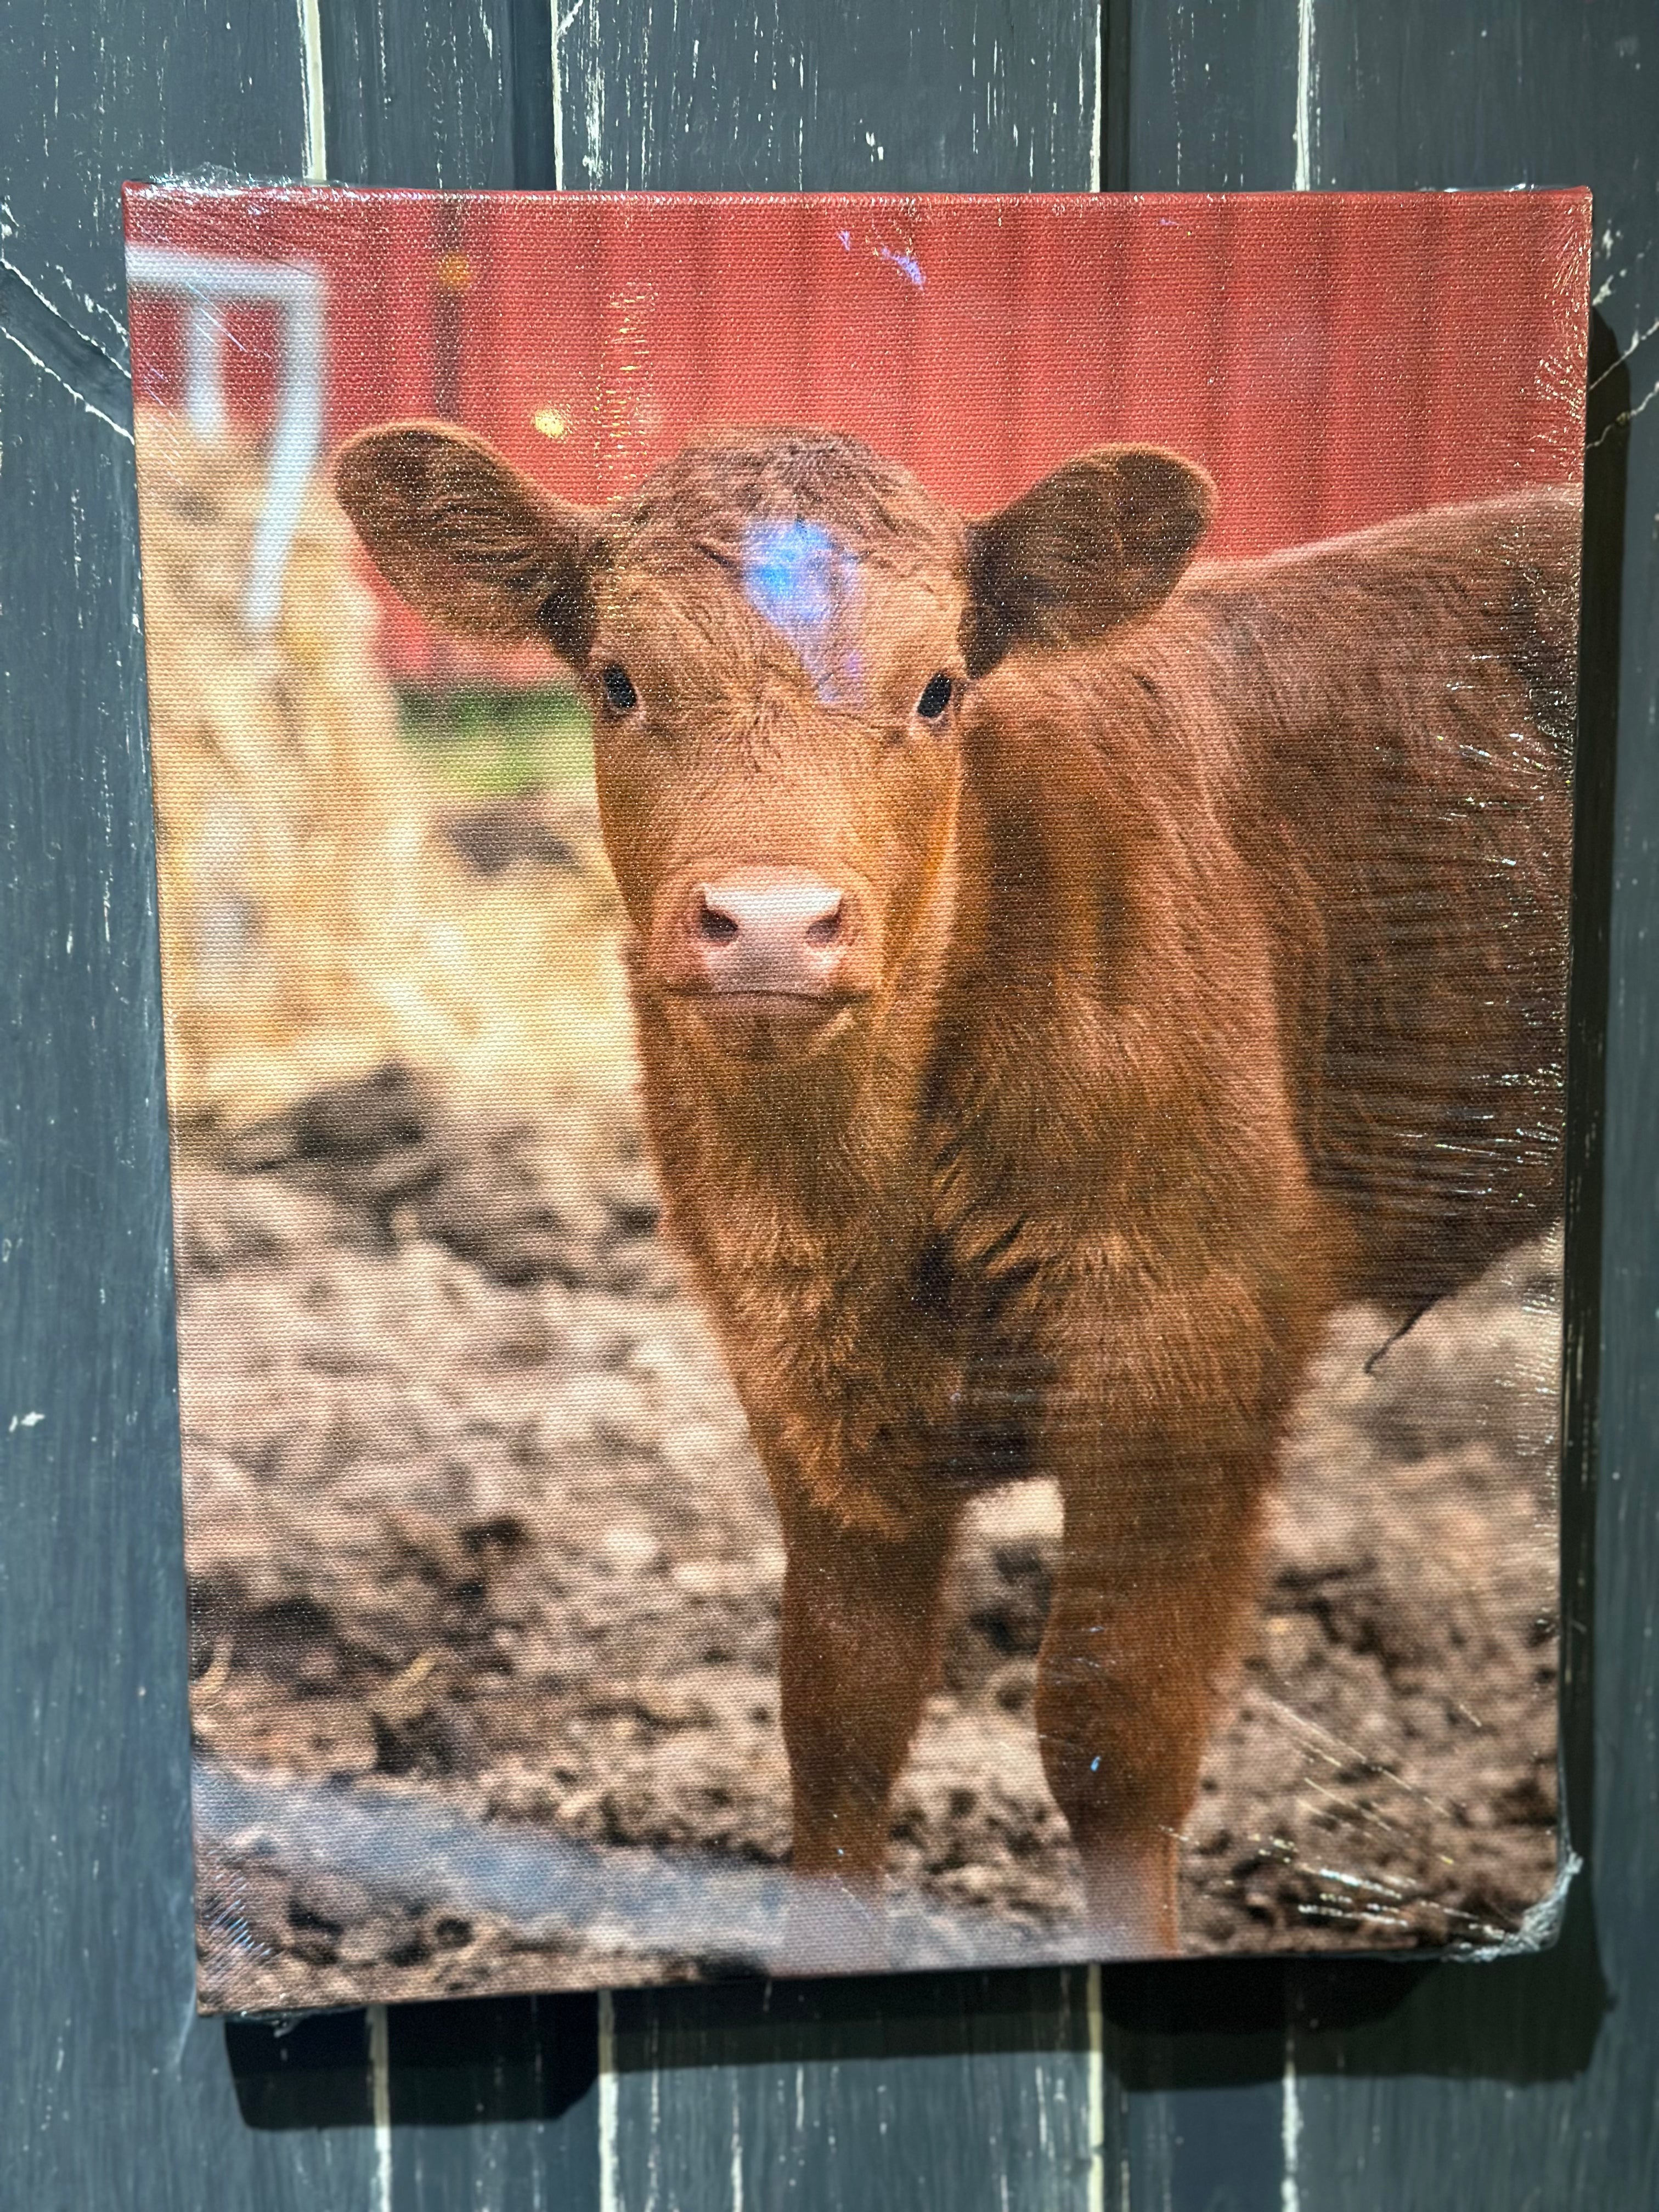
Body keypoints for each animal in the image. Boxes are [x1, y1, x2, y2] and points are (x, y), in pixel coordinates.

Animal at [338, 422, 1583, 1964]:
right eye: (620, 680)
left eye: (938, 691)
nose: (771, 926)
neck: (869, 1190)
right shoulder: (798, 1364)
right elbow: (840, 1713)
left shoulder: (1193, 1340)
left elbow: (1111, 1737)